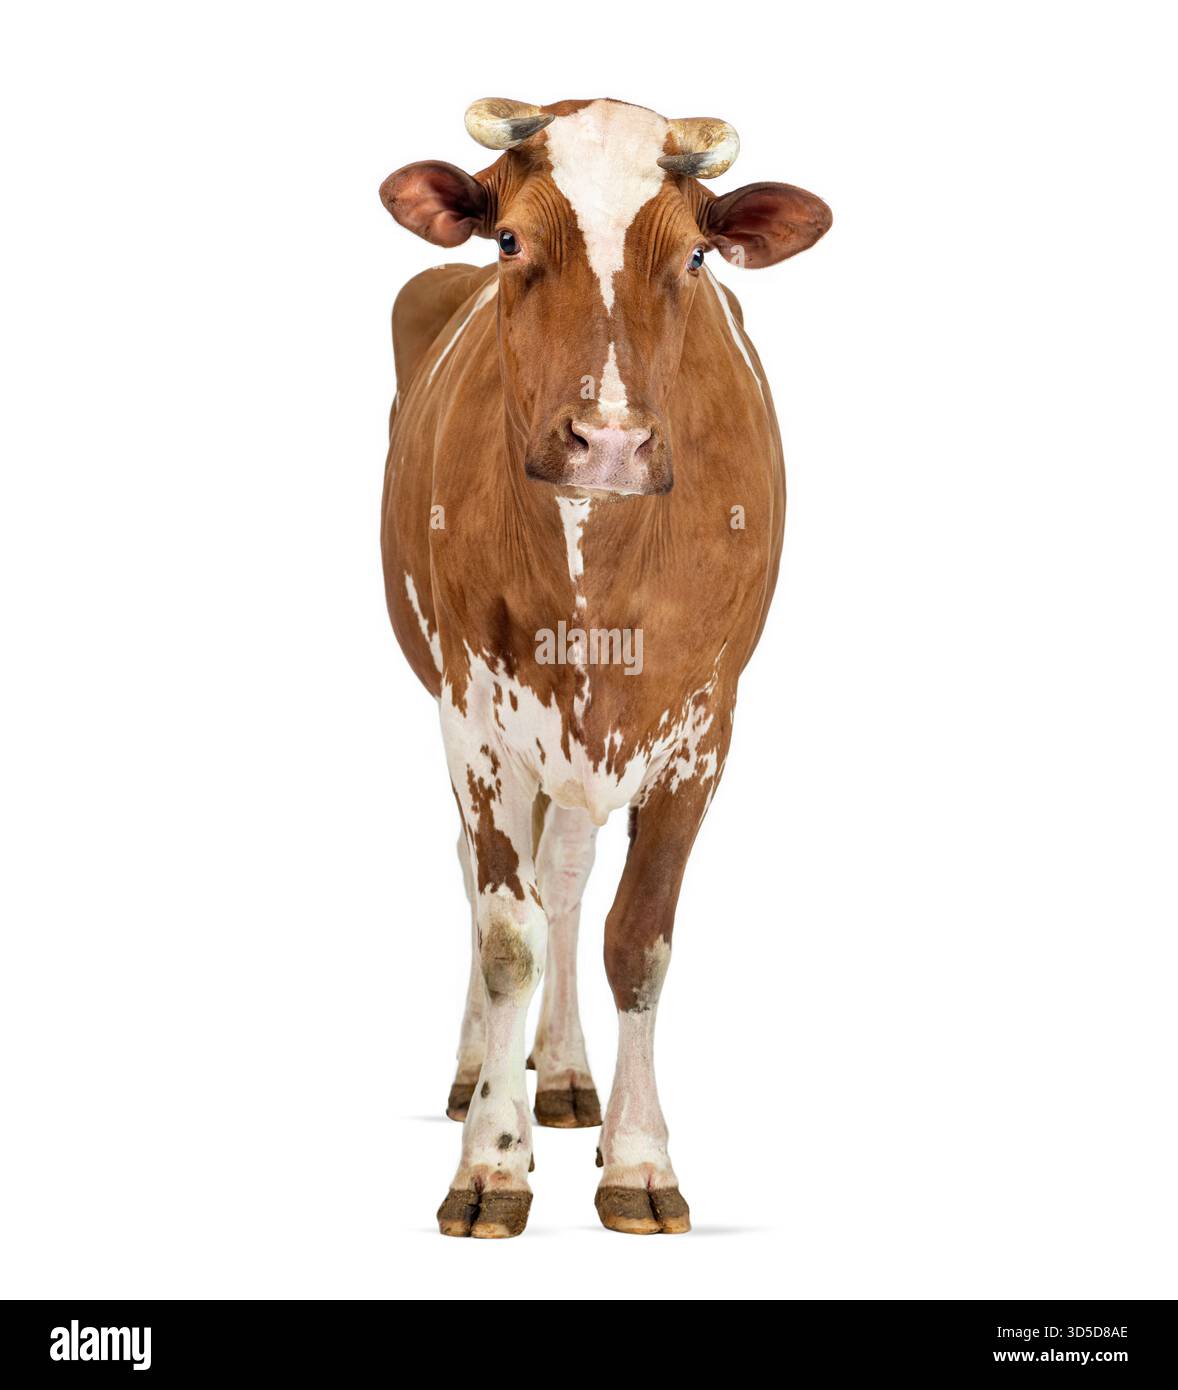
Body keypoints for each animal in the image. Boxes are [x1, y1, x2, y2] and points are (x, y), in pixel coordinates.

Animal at [379, 98, 830, 1237]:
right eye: (507, 240)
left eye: (697, 256)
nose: (610, 443)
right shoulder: (475, 715)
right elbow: (507, 934)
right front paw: (491, 1160)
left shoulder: (704, 727)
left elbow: (638, 938)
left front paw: (636, 1157)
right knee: (490, 880)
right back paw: (481, 1080)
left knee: (571, 878)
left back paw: (568, 1075)